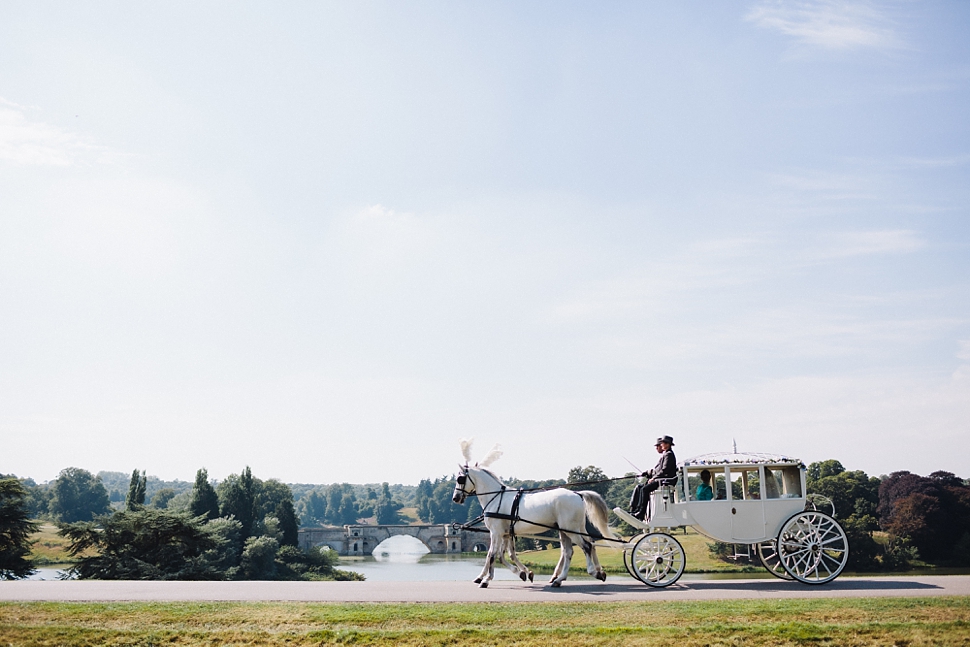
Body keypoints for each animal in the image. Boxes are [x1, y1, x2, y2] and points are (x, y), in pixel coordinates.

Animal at [452, 440, 612, 588]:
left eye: (460, 478)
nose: (455, 498)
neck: (496, 497)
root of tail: (577, 493)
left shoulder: (495, 532)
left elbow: (491, 554)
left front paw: (486, 580)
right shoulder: (506, 534)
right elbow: (502, 555)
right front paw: (523, 572)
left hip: (571, 530)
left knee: (586, 546)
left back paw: (592, 571)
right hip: (572, 529)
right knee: (574, 550)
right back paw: (565, 578)